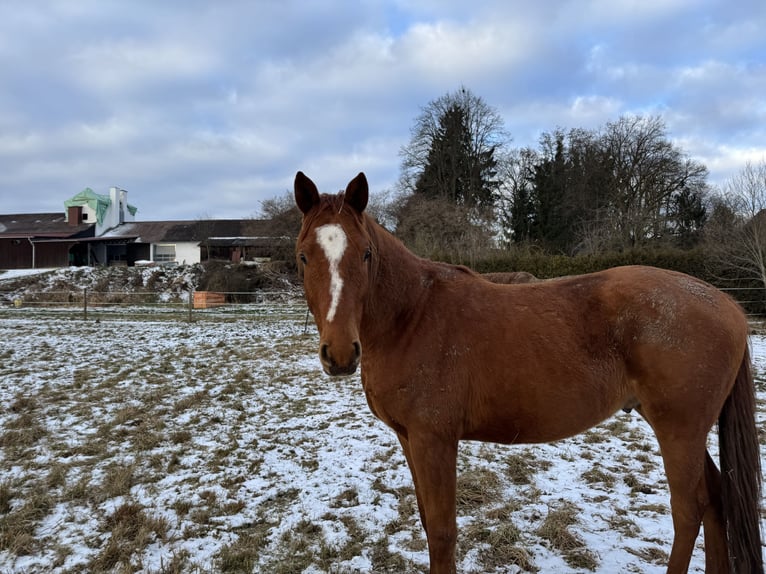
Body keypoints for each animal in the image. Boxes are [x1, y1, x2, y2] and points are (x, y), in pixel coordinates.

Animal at [293, 171, 763, 574]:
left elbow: (443, 533)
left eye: (366, 254)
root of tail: (728, 305)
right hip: (686, 431)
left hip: (679, 431)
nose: (340, 353)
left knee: (689, 511)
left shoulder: (434, 440)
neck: (412, 315)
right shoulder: (409, 438)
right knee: (717, 499)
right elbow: (428, 525)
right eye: (303, 257)